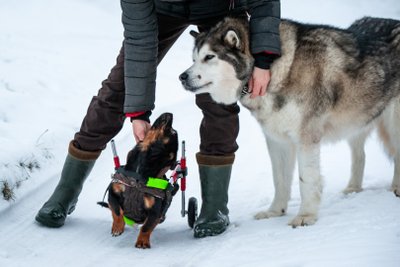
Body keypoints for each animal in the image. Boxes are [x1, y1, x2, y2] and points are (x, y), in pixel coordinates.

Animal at [180, 15, 400, 227]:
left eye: (209, 57)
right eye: (193, 59)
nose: (182, 76)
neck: (274, 70)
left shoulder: (306, 139)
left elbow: (306, 179)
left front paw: (306, 216)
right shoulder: (278, 141)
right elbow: (279, 180)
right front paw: (275, 212)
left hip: (392, 125)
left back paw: (396, 188)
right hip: (356, 125)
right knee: (360, 156)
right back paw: (353, 189)